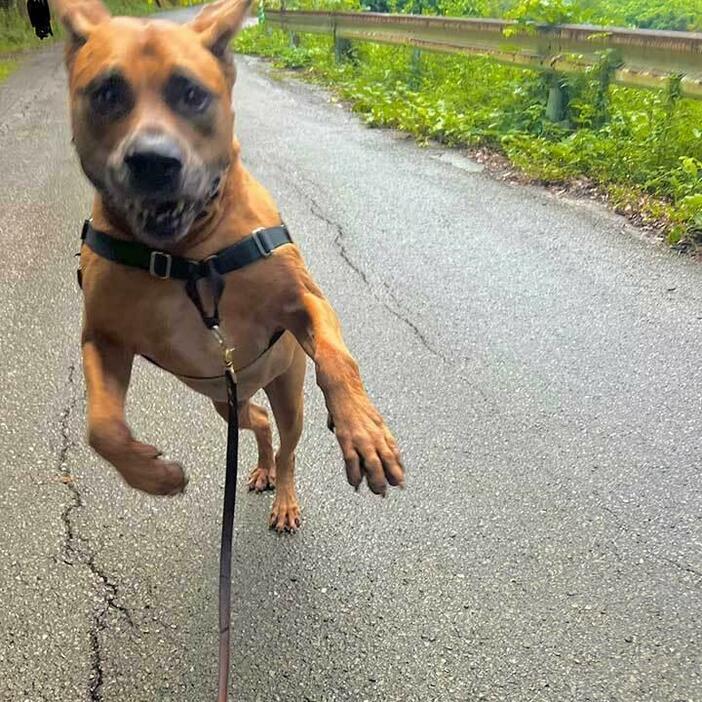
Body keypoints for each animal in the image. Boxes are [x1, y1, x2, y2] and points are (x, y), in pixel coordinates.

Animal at [52, 0, 408, 532]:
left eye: (192, 93)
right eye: (107, 92)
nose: (153, 161)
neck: (188, 256)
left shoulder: (305, 301)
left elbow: (337, 359)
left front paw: (363, 430)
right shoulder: (103, 337)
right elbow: (102, 428)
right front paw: (154, 476)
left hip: (287, 388)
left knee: (287, 446)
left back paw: (284, 494)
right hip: (227, 400)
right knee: (257, 424)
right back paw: (259, 467)